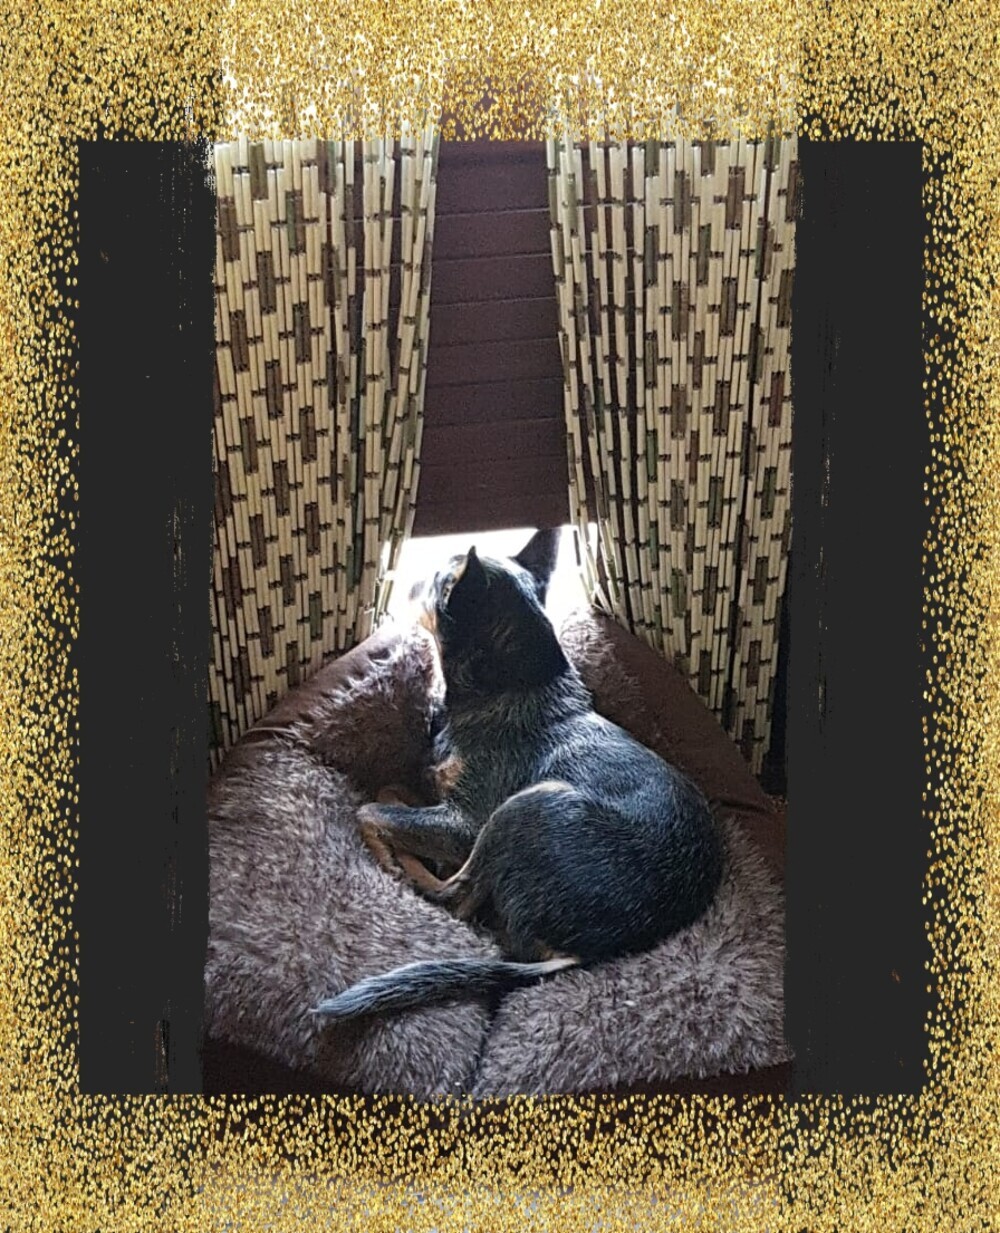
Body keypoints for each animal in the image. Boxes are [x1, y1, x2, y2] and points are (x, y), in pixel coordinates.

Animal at [312, 529, 724, 1020]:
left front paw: (391, 849)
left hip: (528, 805)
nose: (402, 581)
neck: (507, 685)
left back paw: (408, 870)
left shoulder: (465, 825)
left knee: (457, 897)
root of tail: (591, 952)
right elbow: (393, 789)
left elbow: (371, 807)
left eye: (436, 583)